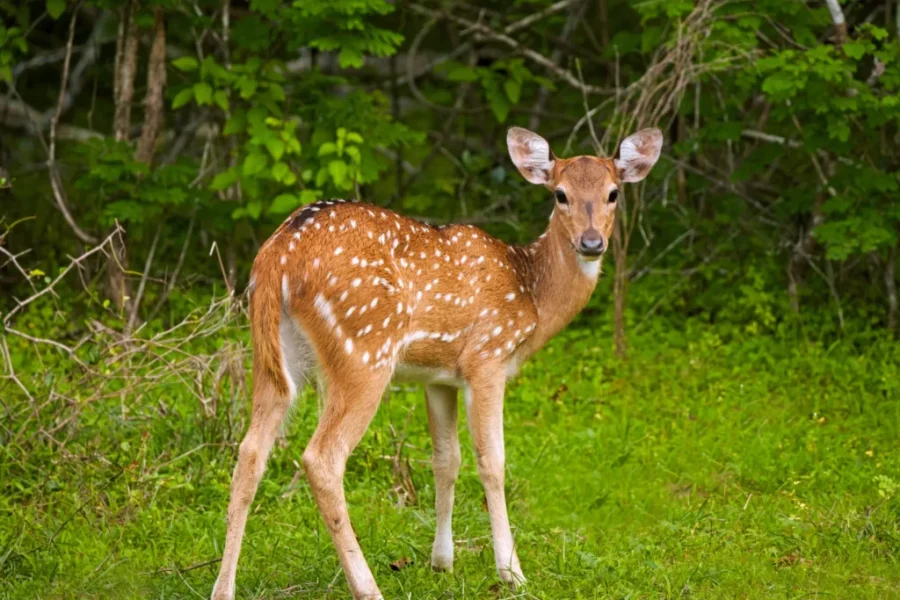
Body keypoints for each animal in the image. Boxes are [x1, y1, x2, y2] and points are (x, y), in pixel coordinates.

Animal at [211, 126, 663, 600]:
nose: (591, 243)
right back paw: (367, 586)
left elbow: (446, 460)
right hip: (364, 349)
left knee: (250, 450)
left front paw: (441, 562)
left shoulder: (439, 377)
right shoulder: (487, 357)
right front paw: (512, 572)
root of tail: (276, 256)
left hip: (274, 354)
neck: (532, 295)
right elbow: (492, 461)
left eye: (613, 193)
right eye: (560, 194)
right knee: (322, 458)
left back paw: (224, 588)